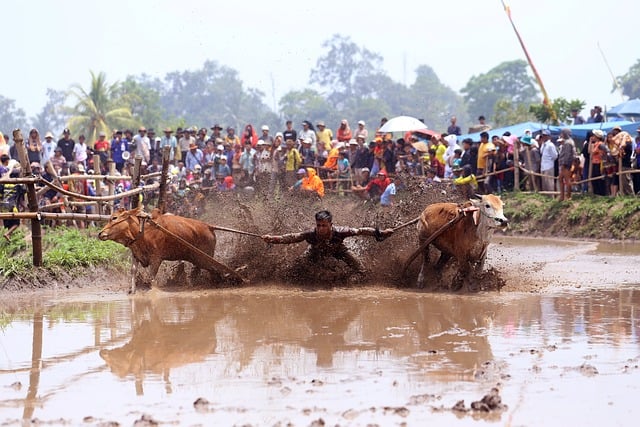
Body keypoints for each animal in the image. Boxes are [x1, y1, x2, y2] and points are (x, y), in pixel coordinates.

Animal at [98, 207, 237, 292]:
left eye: (114, 218)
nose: (100, 233)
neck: (142, 231)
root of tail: (208, 226)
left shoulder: (156, 258)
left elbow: (151, 278)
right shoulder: (136, 255)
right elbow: (133, 272)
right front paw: (132, 291)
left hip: (205, 258)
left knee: (216, 270)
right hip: (198, 259)